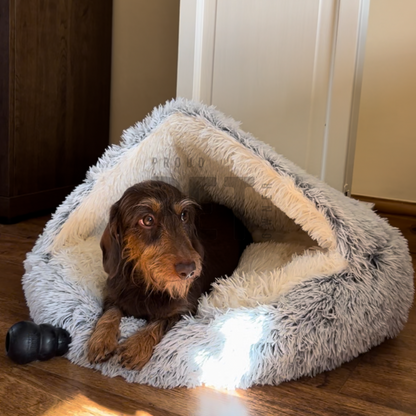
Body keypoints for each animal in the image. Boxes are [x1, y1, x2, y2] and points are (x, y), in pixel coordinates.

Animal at [86, 180, 252, 368]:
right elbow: (109, 313)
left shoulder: (184, 309)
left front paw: (137, 346)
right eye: (148, 220)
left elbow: (160, 322)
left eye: (184, 216)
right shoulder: (113, 294)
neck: (146, 282)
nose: (189, 269)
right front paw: (101, 340)